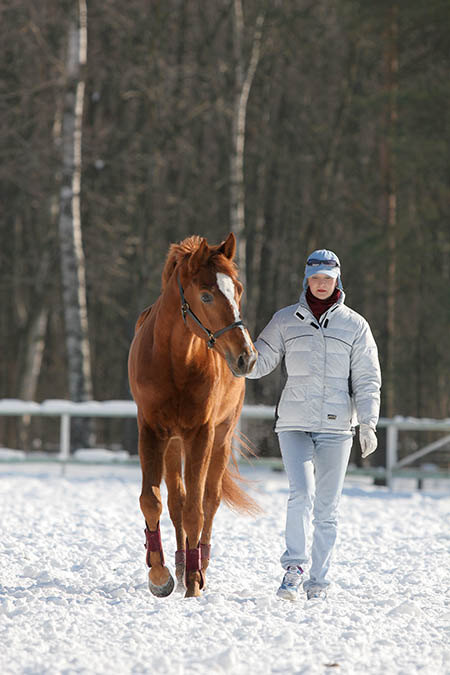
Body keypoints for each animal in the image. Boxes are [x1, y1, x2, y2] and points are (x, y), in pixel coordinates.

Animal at [128, 232, 258, 596]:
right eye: (206, 295)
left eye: (238, 289)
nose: (247, 357)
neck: (174, 361)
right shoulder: (151, 430)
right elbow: (152, 501)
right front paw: (160, 576)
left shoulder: (201, 433)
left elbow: (196, 511)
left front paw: (194, 584)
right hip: (174, 444)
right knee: (176, 501)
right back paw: (181, 562)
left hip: (221, 438)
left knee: (209, 501)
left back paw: (199, 564)